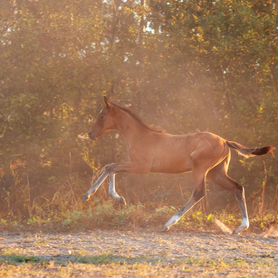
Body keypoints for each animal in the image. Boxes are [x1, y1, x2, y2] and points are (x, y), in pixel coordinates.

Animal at [82, 96, 274, 233]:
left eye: (101, 116)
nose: (91, 134)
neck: (140, 136)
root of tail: (225, 141)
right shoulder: (135, 165)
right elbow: (111, 167)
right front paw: (116, 198)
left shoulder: (141, 167)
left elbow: (110, 167)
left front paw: (94, 196)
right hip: (216, 173)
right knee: (237, 187)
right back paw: (241, 228)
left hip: (200, 169)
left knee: (199, 193)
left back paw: (168, 224)